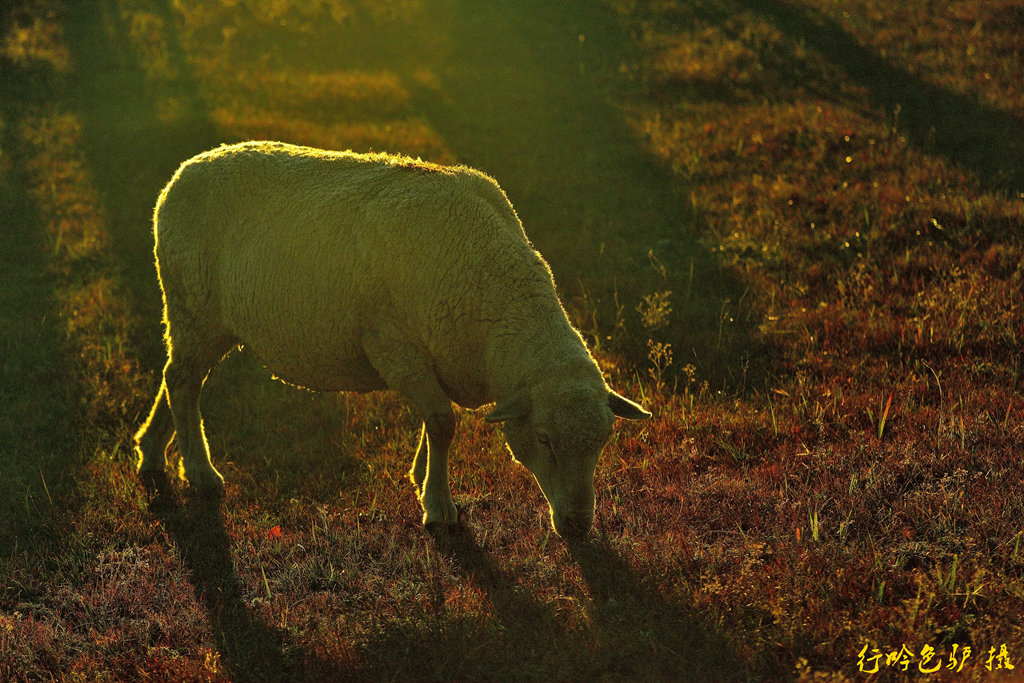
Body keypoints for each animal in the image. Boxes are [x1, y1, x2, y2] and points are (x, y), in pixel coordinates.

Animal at [136, 141, 647, 540]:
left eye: (604, 440)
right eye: (543, 438)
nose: (578, 527)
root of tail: (184, 172)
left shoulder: (429, 357)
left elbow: (434, 421)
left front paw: (421, 478)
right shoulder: (394, 346)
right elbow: (442, 422)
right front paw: (438, 507)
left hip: (200, 317)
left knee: (175, 376)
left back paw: (151, 455)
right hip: (193, 304)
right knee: (182, 381)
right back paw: (199, 473)